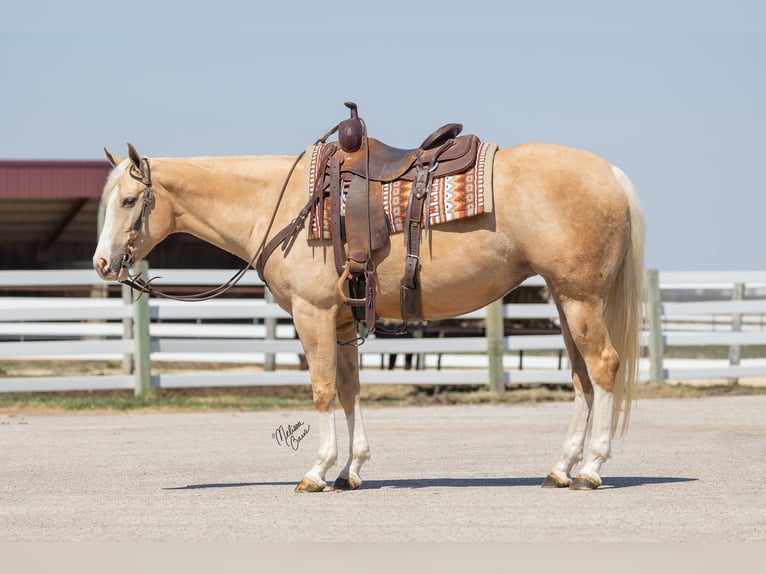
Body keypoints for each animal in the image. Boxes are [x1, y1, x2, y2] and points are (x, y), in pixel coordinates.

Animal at [96, 134, 648, 490]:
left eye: (129, 200)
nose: (103, 264)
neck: (283, 205)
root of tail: (612, 174)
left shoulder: (313, 314)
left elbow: (322, 391)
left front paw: (317, 472)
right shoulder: (342, 319)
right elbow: (349, 390)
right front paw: (351, 470)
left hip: (580, 298)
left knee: (602, 368)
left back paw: (592, 469)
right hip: (566, 299)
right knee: (580, 377)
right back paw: (562, 468)